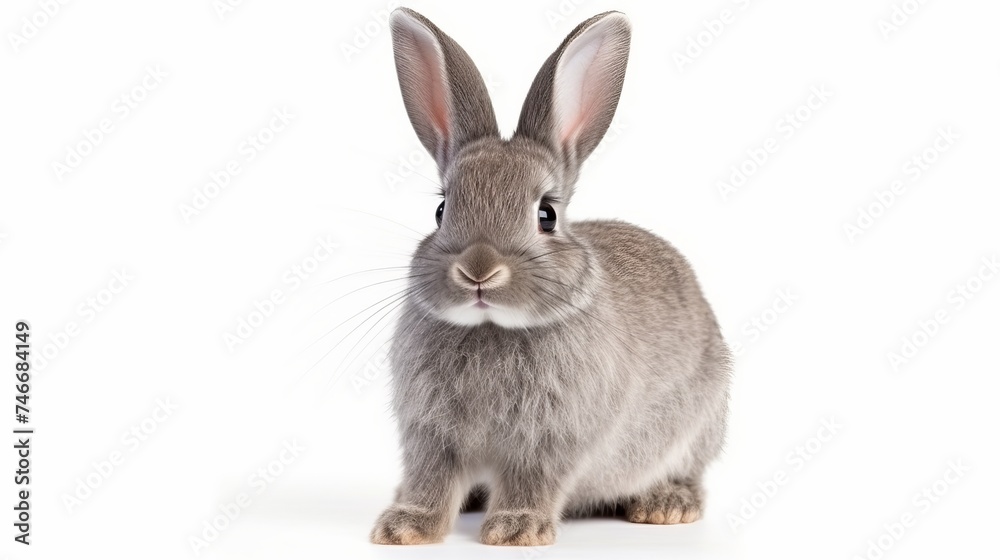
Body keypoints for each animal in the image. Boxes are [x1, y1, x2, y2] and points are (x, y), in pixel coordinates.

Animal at [370, 7, 731, 546]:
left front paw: (515, 530)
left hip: (702, 420)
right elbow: (431, 478)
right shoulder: (432, 433)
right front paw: (404, 527)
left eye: (547, 215)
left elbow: (533, 478)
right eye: (440, 210)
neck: (492, 328)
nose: (479, 271)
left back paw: (666, 504)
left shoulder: (552, 437)